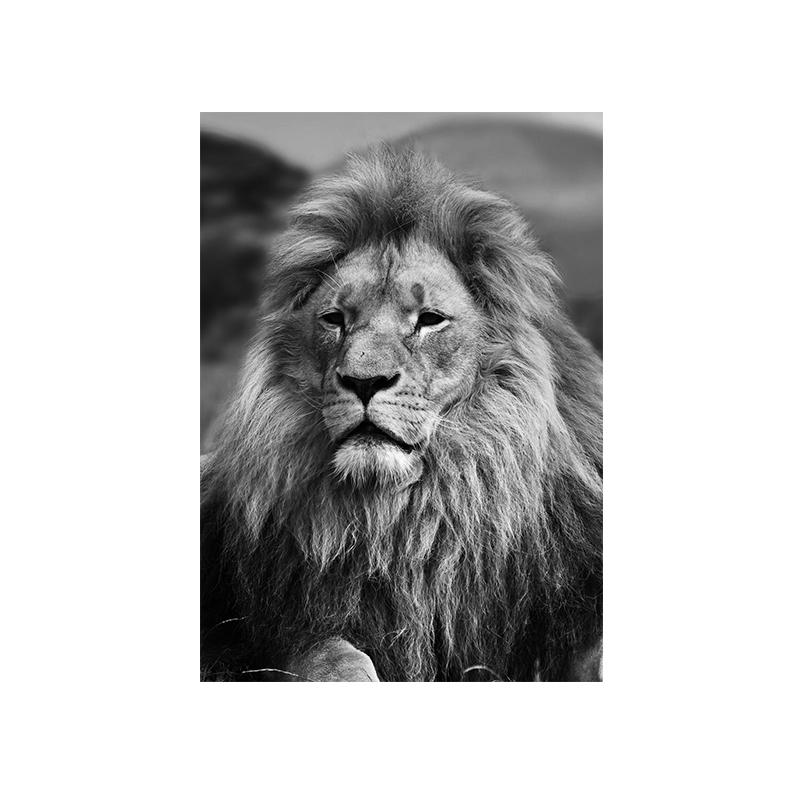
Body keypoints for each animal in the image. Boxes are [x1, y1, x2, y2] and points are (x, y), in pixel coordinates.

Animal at [201, 147, 602, 681]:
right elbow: (332, 654)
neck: (407, 521)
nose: (364, 381)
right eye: (334, 319)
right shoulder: (263, 636)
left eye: (429, 319)